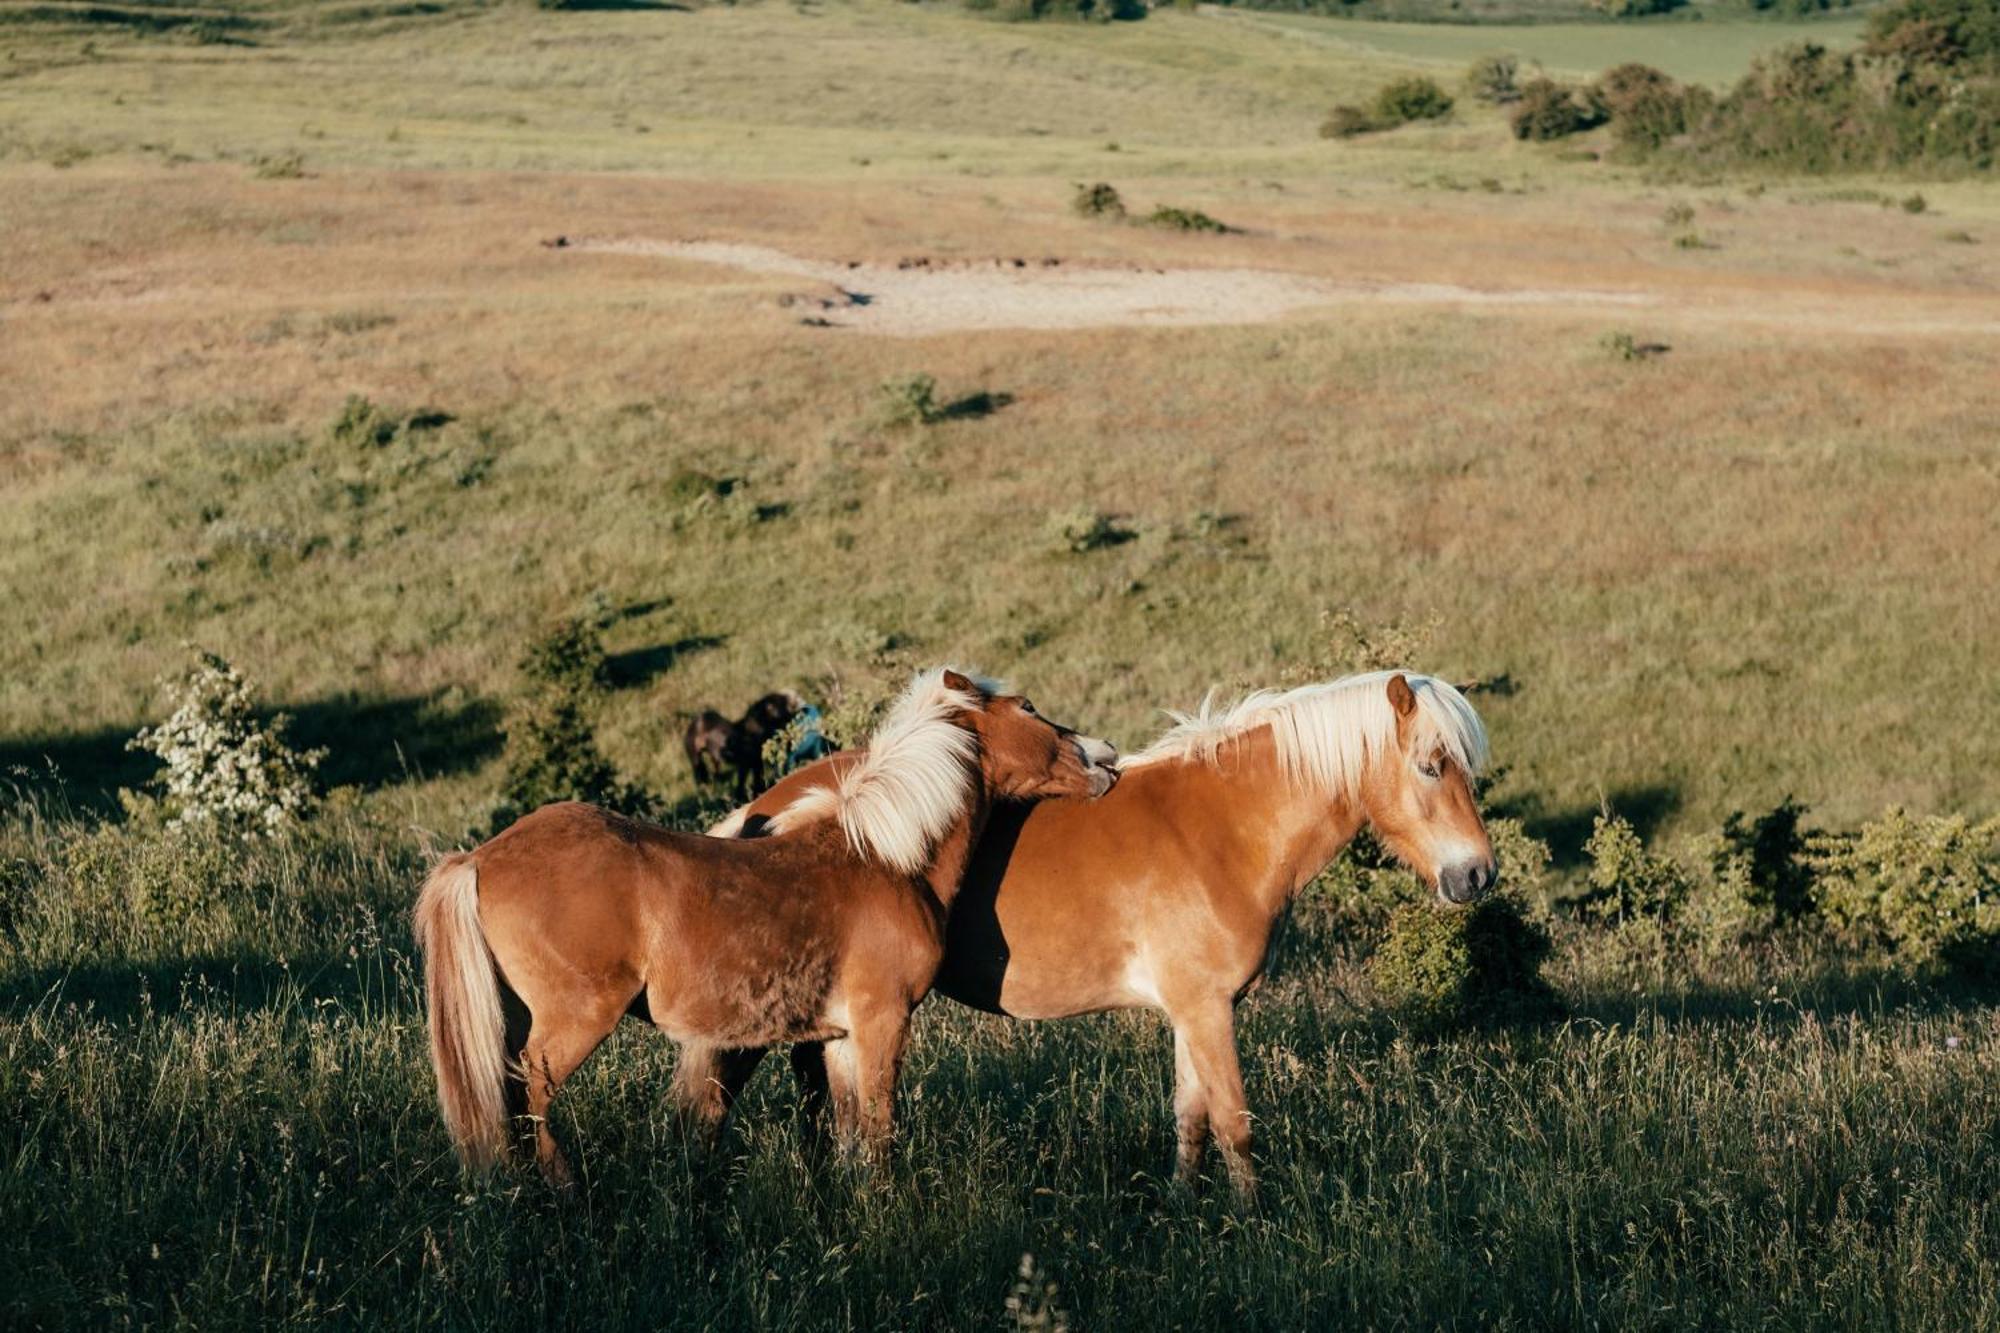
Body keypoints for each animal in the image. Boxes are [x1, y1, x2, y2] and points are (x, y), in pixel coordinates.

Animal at [414, 668, 1120, 1176]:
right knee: (531, 1100)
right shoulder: (882, 1022)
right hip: (571, 1023)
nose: (1105, 756)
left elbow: (848, 1140)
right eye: (1028, 707)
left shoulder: (837, 1037)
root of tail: (480, 857)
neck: (884, 857)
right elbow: (880, 1133)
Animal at [712, 668, 1496, 1184]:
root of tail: (763, 810)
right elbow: (1235, 1126)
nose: (1477, 875)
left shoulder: (1193, 1011)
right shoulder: (1208, 1010)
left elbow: (1191, 1120)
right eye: (1431, 766)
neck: (1225, 828)